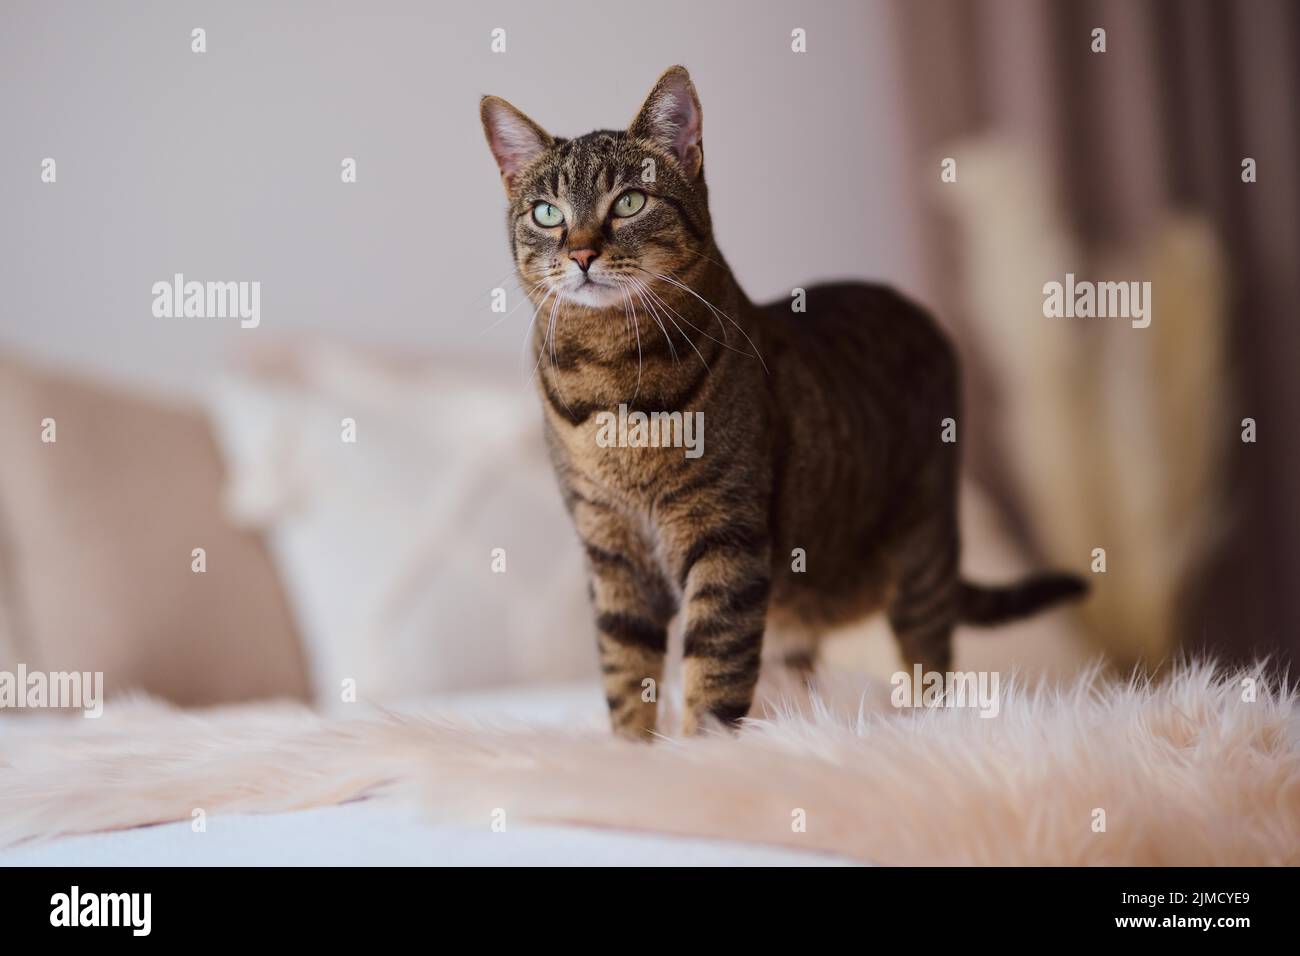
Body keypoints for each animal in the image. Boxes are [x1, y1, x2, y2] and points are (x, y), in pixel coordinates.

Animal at [480, 67, 1086, 738]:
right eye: (547, 213)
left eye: (630, 202)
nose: (581, 254)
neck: (610, 373)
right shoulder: (610, 552)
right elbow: (624, 675)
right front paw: (633, 754)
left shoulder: (726, 539)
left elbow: (712, 676)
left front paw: (697, 755)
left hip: (924, 556)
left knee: (930, 665)